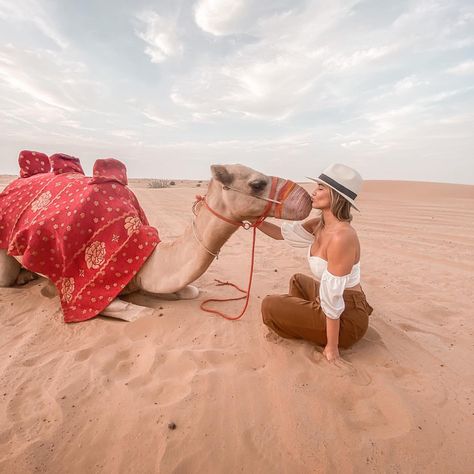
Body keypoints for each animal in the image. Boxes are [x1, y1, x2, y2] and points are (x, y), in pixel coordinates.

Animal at [0, 152, 312, 322]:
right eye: (257, 184)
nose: (307, 199)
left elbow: (190, 290)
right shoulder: (89, 288)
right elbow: (143, 313)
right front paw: (51, 290)